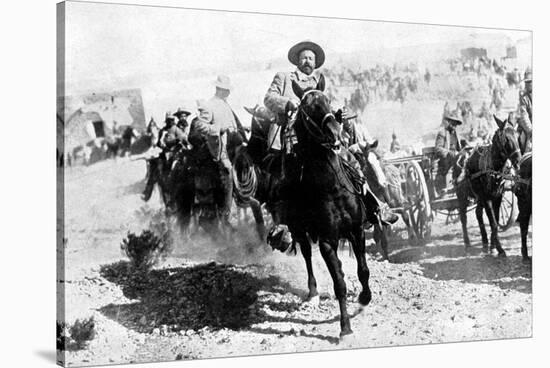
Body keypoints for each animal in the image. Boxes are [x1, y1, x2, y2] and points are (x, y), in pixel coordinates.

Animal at [286, 77, 374, 340]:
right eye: (307, 108)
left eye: (327, 100)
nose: (335, 131)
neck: (333, 188)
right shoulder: (326, 241)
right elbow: (339, 285)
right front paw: (345, 327)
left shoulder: (357, 230)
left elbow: (363, 271)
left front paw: (365, 298)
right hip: (300, 231)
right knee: (306, 255)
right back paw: (313, 293)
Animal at [454, 116, 524, 254]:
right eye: (506, 139)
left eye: (517, 135)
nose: (518, 162)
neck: (493, 169)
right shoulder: (487, 199)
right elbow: (493, 223)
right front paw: (499, 248)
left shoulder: (497, 197)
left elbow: (495, 220)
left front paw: (493, 245)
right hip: (462, 197)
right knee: (463, 217)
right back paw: (467, 242)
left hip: (479, 198)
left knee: (478, 213)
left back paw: (485, 241)